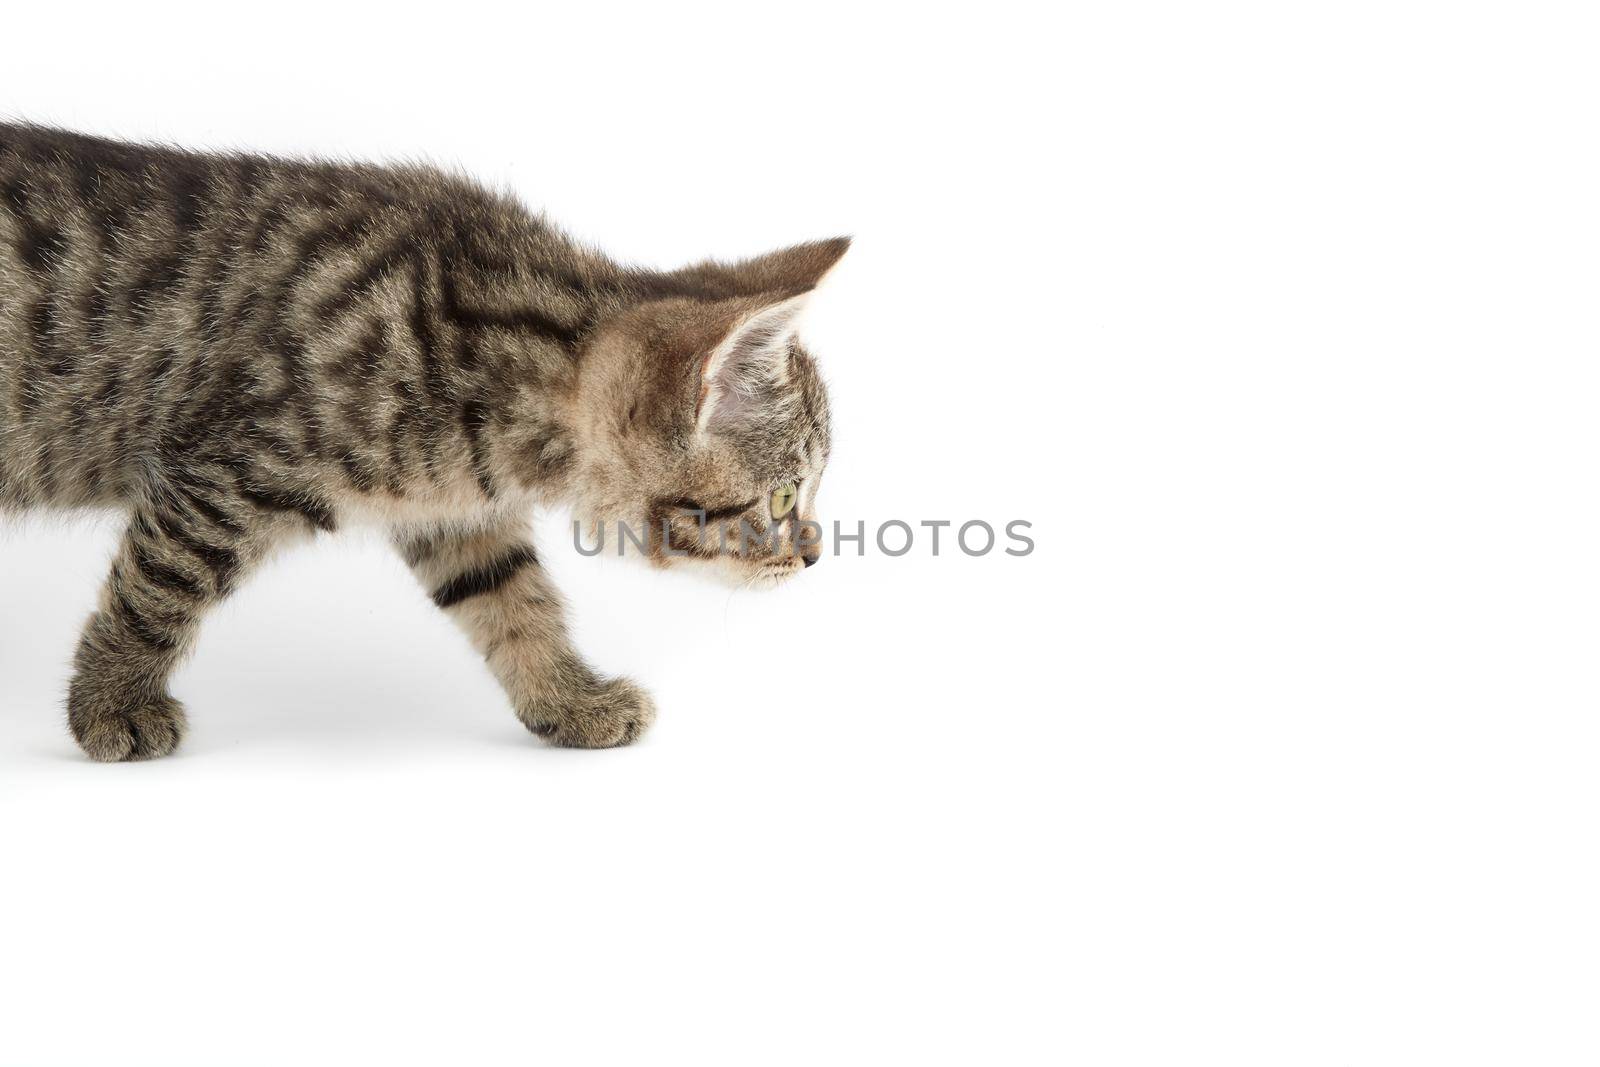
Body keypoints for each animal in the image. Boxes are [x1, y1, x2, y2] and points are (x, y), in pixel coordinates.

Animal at [0, 123, 844, 758]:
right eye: (781, 496)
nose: (813, 556)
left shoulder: (456, 512)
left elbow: (517, 602)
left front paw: (569, 699)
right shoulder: (222, 472)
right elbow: (156, 587)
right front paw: (111, 700)